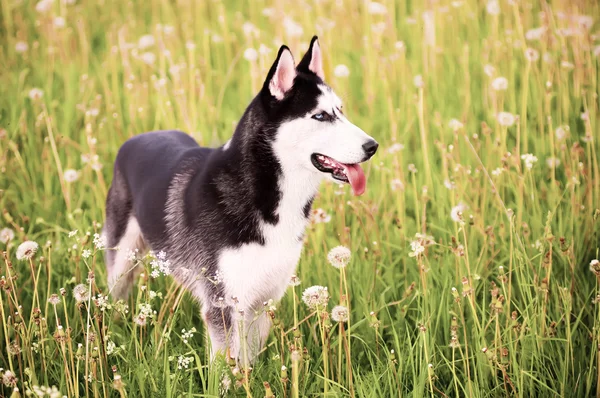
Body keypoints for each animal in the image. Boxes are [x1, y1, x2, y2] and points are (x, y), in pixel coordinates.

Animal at [102, 36, 376, 364]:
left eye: (341, 111)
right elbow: (226, 367)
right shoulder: (222, 305)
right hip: (121, 264)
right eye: (320, 116)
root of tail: (136, 139)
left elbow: (248, 362)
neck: (265, 194)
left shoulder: (262, 301)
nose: (373, 146)